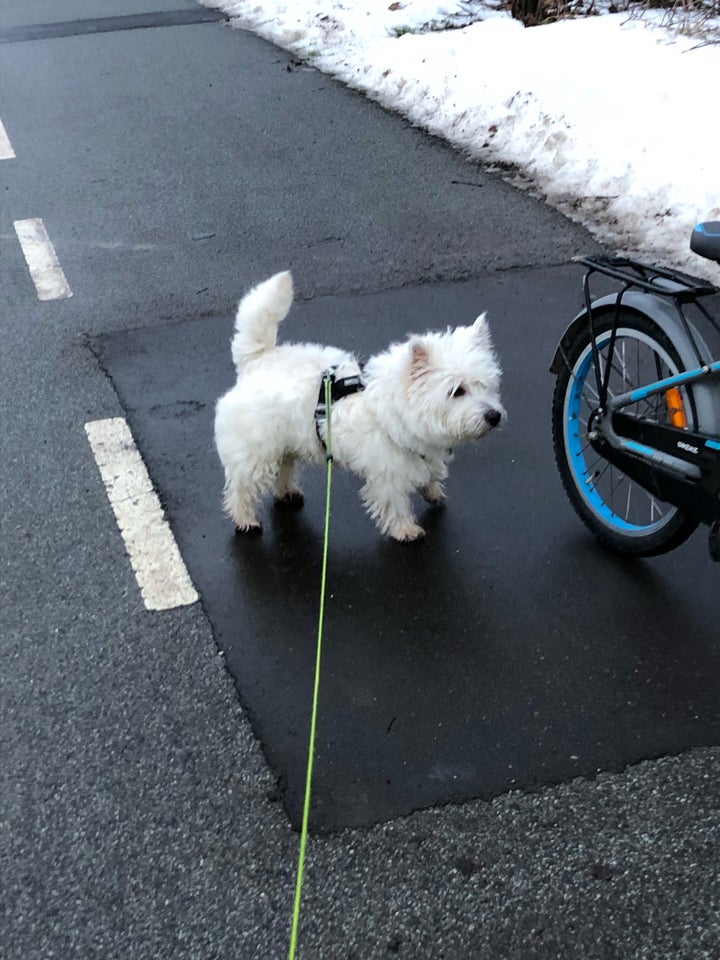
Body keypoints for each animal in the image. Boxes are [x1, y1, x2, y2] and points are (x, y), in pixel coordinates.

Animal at [217, 272, 504, 540]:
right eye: (457, 391)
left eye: (486, 385)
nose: (494, 416)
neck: (398, 406)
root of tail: (258, 360)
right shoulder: (387, 473)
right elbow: (394, 503)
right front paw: (407, 530)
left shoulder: (422, 452)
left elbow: (430, 472)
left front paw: (433, 491)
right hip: (257, 451)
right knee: (242, 486)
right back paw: (246, 520)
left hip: (285, 440)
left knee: (284, 466)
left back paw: (286, 492)